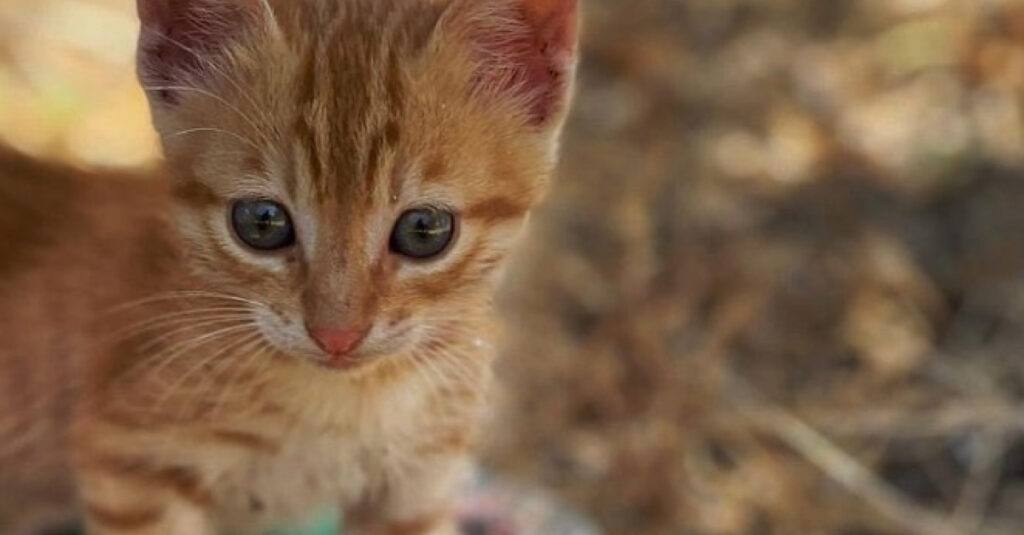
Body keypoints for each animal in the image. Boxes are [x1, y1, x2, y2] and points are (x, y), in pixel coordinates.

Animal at [0, 0, 581, 528]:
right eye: (261, 222)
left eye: (424, 230)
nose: (337, 336)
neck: (349, 402)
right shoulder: (130, 465)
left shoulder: (420, 482)